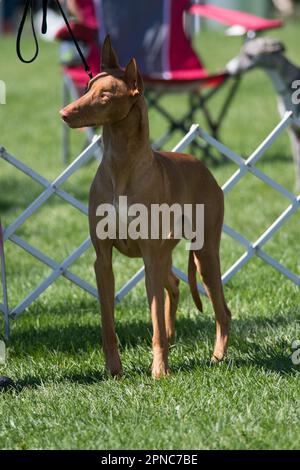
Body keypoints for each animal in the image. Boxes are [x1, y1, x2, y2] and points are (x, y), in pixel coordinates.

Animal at [59, 36, 231, 378]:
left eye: (105, 95)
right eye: (87, 87)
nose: (64, 113)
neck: (121, 166)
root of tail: (200, 164)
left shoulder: (150, 256)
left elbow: (154, 323)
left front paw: (159, 370)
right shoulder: (103, 260)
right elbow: (108, 323)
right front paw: (113, 369)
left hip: (203, 256)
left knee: (222, 310)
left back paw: (217, 356)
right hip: (166, 257)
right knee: (175, 285)